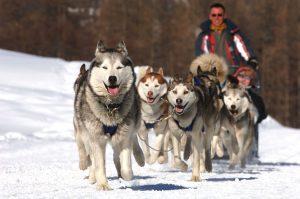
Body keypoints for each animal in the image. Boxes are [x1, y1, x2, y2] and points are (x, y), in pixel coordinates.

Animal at [72, 41, 144, 190]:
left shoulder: (124, 136)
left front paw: (126, 175)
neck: (111, 106)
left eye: (119, 67)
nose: (112, 78)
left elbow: (126, 167)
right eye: (105, 67)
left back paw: (139, 158)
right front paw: (103, 184)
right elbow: (98, 164)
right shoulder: (95, 137)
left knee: (131, 141)